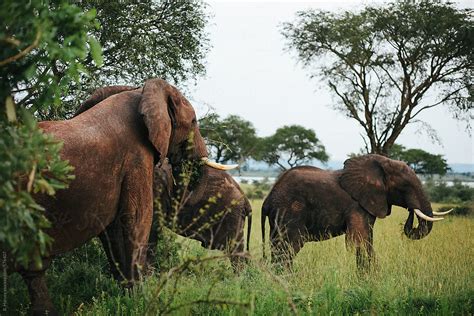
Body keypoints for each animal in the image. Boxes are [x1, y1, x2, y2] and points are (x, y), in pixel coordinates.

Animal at [262, 154, 452, 270]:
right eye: (405, 186)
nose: (411, 210)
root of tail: (268, 199)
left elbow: (367, 241)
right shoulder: (357, 206)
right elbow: (359, 241)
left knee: (277, 248)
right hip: (289, 212)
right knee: (288, 248)